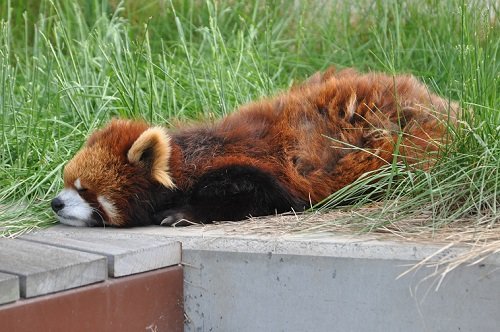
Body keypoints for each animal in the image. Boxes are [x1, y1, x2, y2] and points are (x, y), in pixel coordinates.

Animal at [50, 68, 458, 227]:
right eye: (67, 182)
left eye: (85, 190)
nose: (55, 203)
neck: (187, 159)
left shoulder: (255, 165)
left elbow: (257, 195)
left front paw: (180, 213)